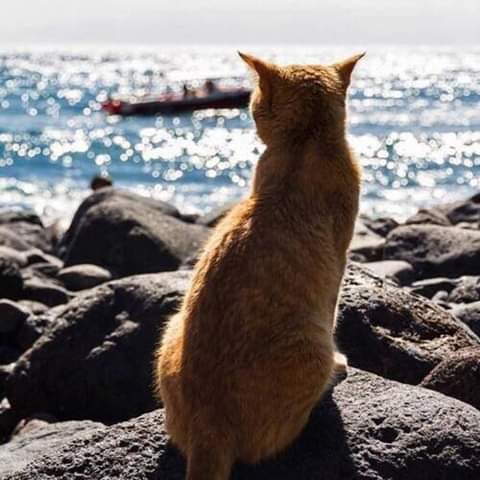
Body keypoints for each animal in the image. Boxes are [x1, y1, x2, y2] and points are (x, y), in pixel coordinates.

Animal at [156, 50, 362, 478]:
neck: (305, 143)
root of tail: (209, 429)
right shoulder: (339, 257)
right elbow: (334, 307)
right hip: (311, 347)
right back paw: (333, 374)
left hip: (170, 327)